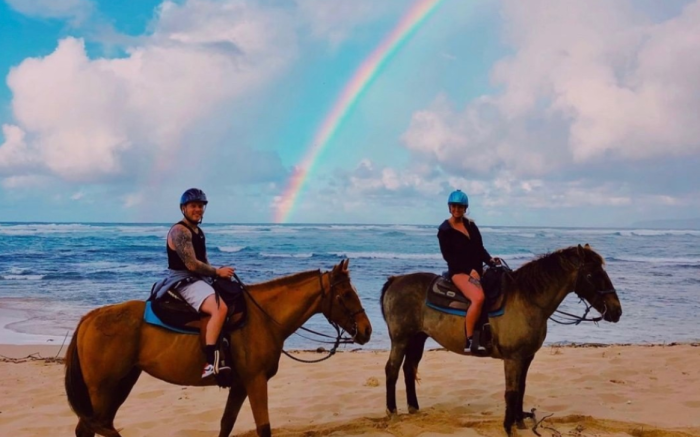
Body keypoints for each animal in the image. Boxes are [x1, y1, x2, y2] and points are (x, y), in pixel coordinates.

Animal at [64, 258, 372, 436]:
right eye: (346, 294)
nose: (367, 330)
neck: (262, 317)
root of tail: (90, 317)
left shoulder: (240, 385)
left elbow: (226, 423)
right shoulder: (256, 381)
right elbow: (264, 427)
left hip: (120, 385)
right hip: (102, 390)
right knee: (89, 428)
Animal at [380, 244, 620, 434]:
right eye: (592, 275)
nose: (616, 311)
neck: (526, 300)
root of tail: (396, 280)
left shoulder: (526, 357)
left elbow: (521, 388)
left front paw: (519, 421)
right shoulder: (513, 358)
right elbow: (511, 392)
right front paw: (508, 426)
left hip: (417, 338)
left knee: (409, 369)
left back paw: (413, 408)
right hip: (401, 339)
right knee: (392, 369)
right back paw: (392, 411)